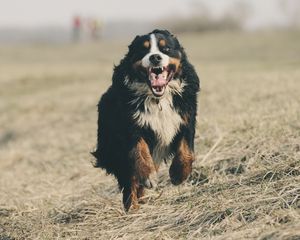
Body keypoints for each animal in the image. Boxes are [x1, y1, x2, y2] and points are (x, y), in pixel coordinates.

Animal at [91, 29, 199, 211]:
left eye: (166, 49)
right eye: (143, 50)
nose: (155, 57)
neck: (158, 100)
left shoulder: (186, 118)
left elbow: (186, 150)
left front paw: (178, 174)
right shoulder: (130, 127)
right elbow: (139, 152)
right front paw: (149, 176)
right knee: (130, 182)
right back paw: (133, 207)